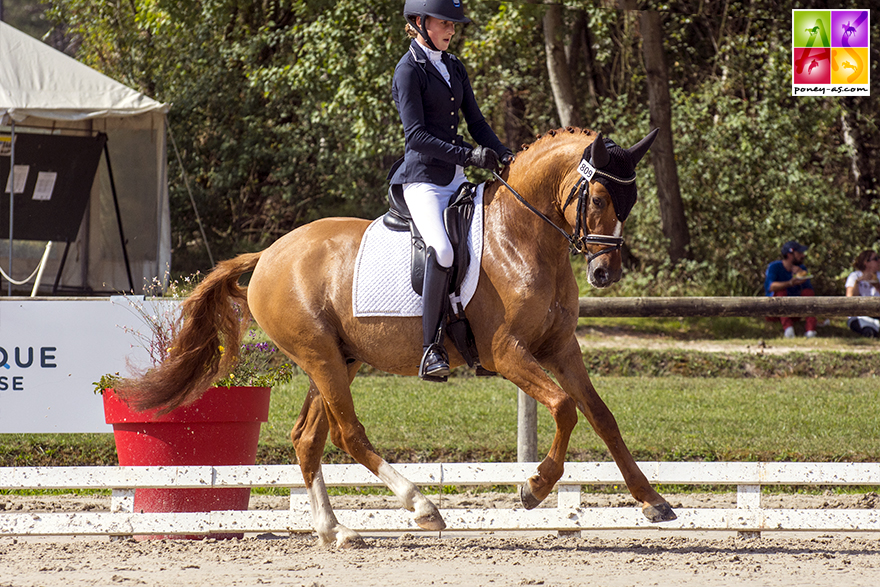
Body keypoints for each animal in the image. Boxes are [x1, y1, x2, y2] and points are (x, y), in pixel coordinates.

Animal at [117, 126, 676, 548]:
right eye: (598, 197)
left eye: (629, 201)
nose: (605, 273)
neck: (523, 236)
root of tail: (269, 253)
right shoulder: (506, 353)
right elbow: (564, 407)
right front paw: (534, 487)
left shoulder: (560, 348)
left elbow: (602, 416)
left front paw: (653, 501)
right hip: (320, 355)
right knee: (347, 433)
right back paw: (421, 507)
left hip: (337, 359)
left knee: (307, 439)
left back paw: (336, 531)